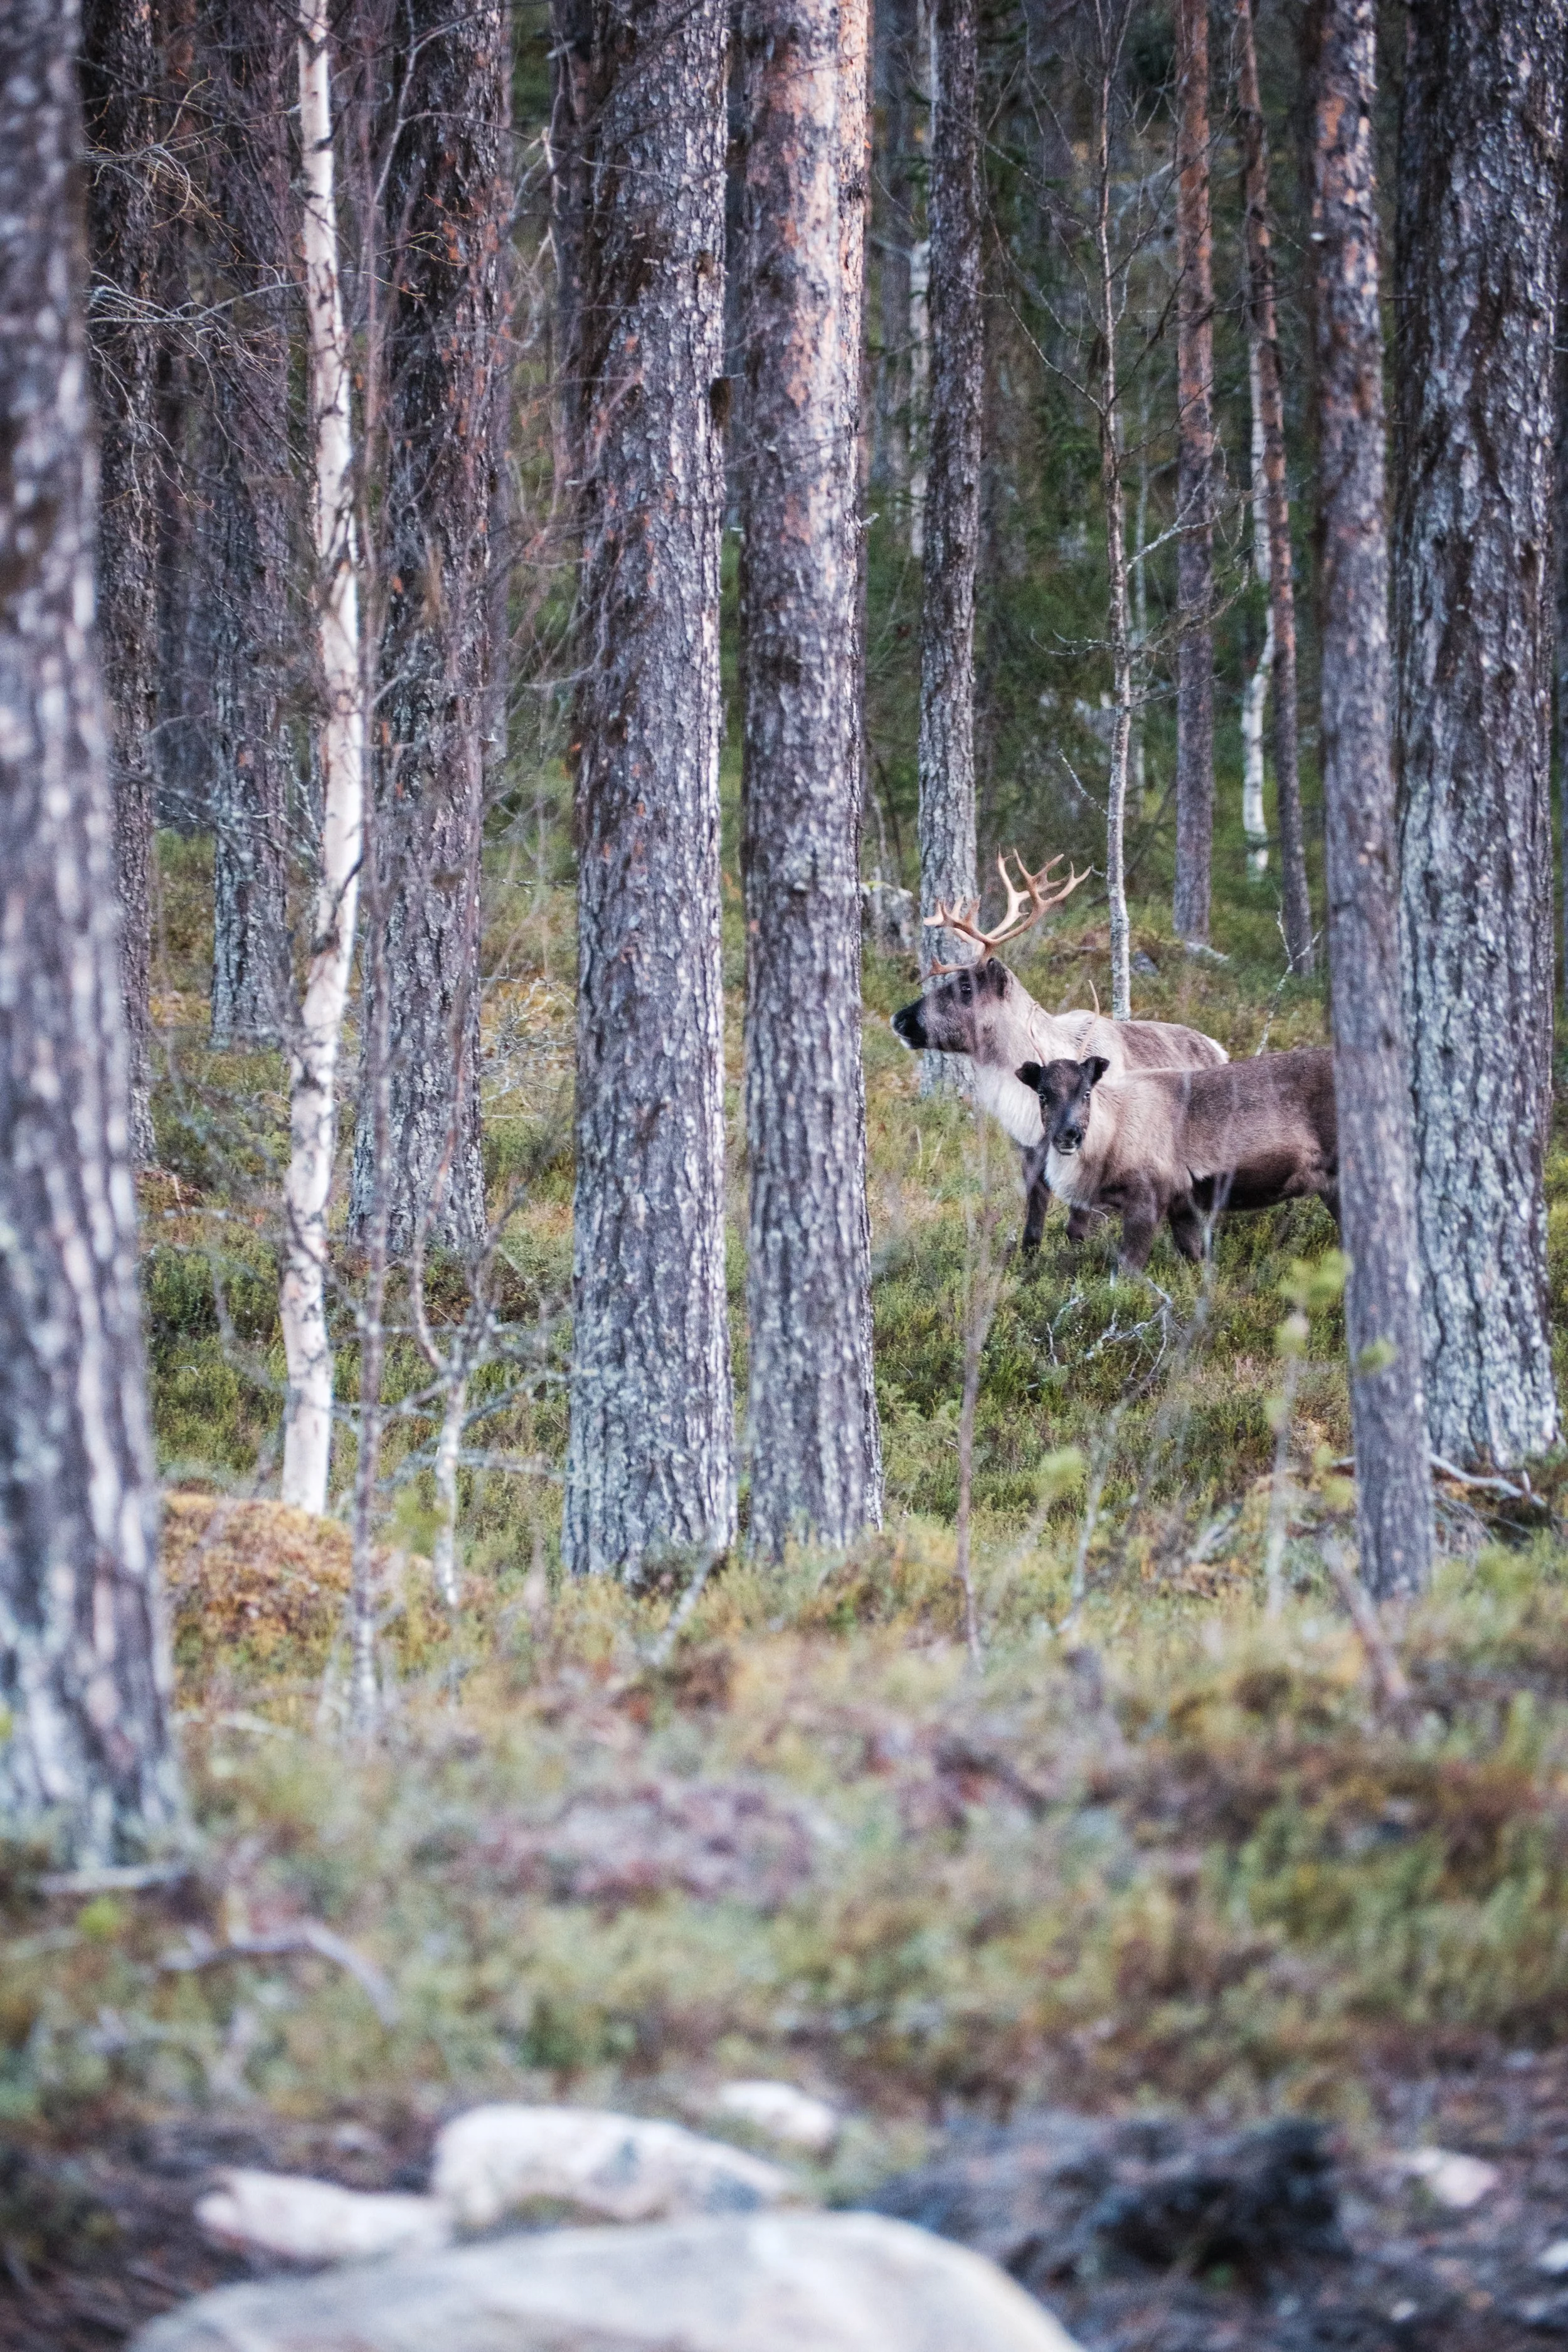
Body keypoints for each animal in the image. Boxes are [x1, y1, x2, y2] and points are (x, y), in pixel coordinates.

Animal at [890, 851, 1229, 1250]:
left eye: (966, 987)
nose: (899, 1019)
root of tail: (1220, 1049)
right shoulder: (1030, 1153)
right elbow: (1033, 1226)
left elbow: (1077, 1227)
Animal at [1016, 1048, 1339, 1273]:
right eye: (1043, 1095)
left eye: (1086, 1093)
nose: (1069, 1135)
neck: (1110, 1137)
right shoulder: (1184, 1206)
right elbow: (1196, 1259)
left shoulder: (1147, 1199)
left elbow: (1127, 1269)